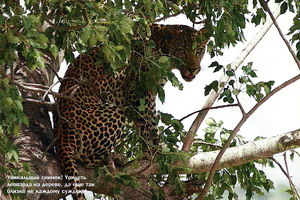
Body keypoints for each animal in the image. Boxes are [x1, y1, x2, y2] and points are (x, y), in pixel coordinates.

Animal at [54, 24, 207, 199]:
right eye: (182, 50)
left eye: (199, 50)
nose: (193, 69)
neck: (161, 45)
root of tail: (62, 137)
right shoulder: (138, 91)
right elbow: (145, 123)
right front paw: (152, 152)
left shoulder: (150, 93)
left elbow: (152, 123)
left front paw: (158, 149)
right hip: (114, 114)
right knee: (86, 160)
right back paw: (114, 158)